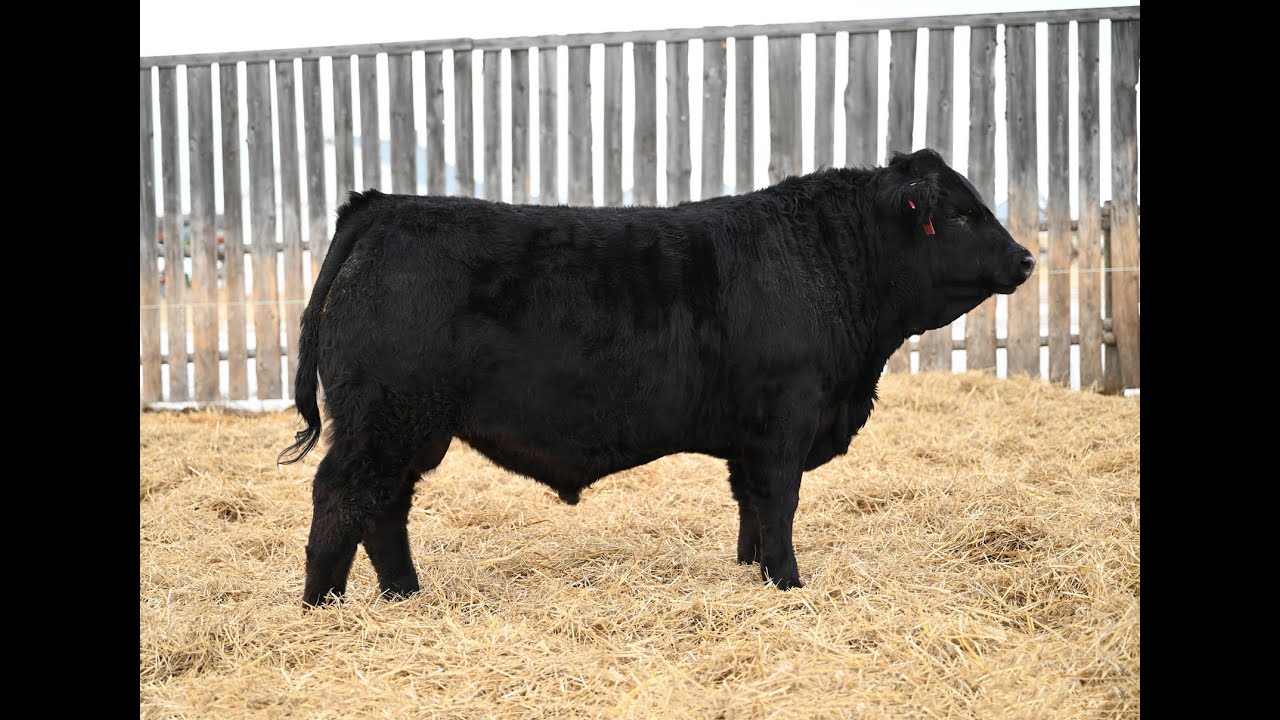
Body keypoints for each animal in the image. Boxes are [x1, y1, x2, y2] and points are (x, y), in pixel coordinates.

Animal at [279, 148, 1035, 606]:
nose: (1026, 258)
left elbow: (750, 508)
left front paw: (752, 574)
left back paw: (403, 596)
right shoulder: (784, 421)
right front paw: (789, 586)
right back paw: (323, 606)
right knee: (341, 495)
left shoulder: (749, 440)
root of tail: (384, 204)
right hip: (386, 418)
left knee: (384, 506)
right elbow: (780, 505)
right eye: (961, 212)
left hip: (409, 427)